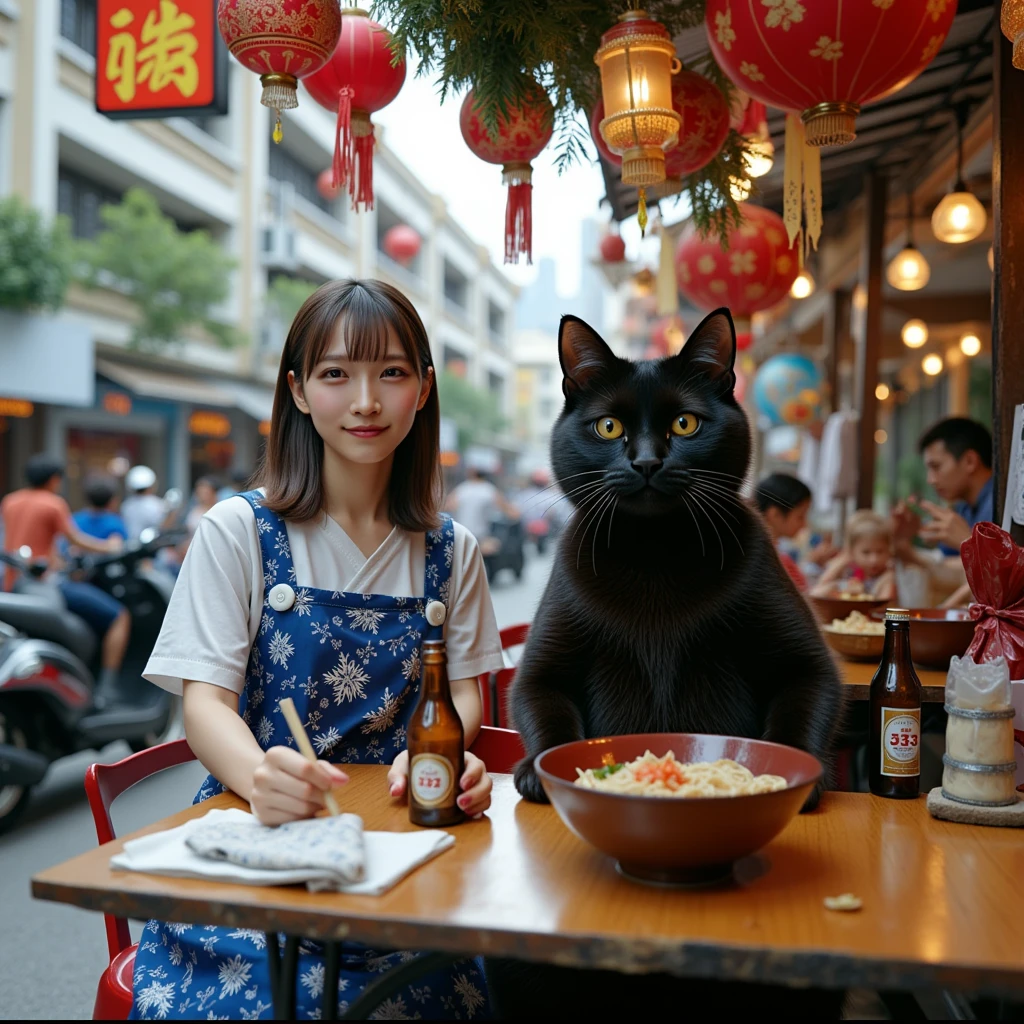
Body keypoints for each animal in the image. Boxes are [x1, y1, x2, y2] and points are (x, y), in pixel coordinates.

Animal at [509, 307, 839, 802]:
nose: (647, 462)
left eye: (685, 423)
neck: (655, 551)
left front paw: (798, 776)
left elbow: (805, 695)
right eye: (609, 426)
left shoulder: (806, 666)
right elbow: (542, 704)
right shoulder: (541, 671)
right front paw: (537, 771)